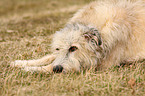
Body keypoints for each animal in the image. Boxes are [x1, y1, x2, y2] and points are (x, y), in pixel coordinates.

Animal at [10, 0, 145, 73]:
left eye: (73, 48)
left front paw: (31, 69)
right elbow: (49, 57)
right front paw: (21, 63)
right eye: (58, 49)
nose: (58, 69)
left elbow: (50, 65)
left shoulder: (97, 65)